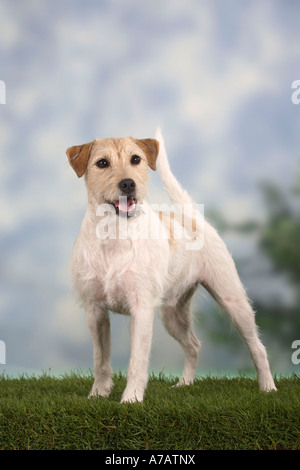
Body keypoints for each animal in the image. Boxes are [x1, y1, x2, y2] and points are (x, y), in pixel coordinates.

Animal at [65, 130, 276, 402]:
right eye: (102, 163)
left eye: (136, 159)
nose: (128, 184)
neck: (115, 234)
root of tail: (193, 218)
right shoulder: (95, 311)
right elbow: (100, 360)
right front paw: (98, 394)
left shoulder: (141, 309)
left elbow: (137, 361)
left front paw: (131, 399)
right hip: (173, 314)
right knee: (194, 345)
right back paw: (184, 383)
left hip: (233, 301)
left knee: (257, 347)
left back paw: (268, 386)